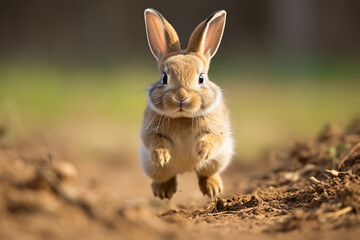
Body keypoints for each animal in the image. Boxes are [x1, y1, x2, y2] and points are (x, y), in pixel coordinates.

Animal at [139, 7, 235, 199]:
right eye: (164, 77)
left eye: (201, 78)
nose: (181, 97)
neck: (182, 117)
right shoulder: (151, 132)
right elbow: (154, 141)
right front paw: (162, 157)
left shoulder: (217, 129)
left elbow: (213, 137)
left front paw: (202, 151)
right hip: (152, 167)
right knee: (165, 176)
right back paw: (163, 191)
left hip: (219, 159)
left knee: (205, 173)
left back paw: (213, 188)